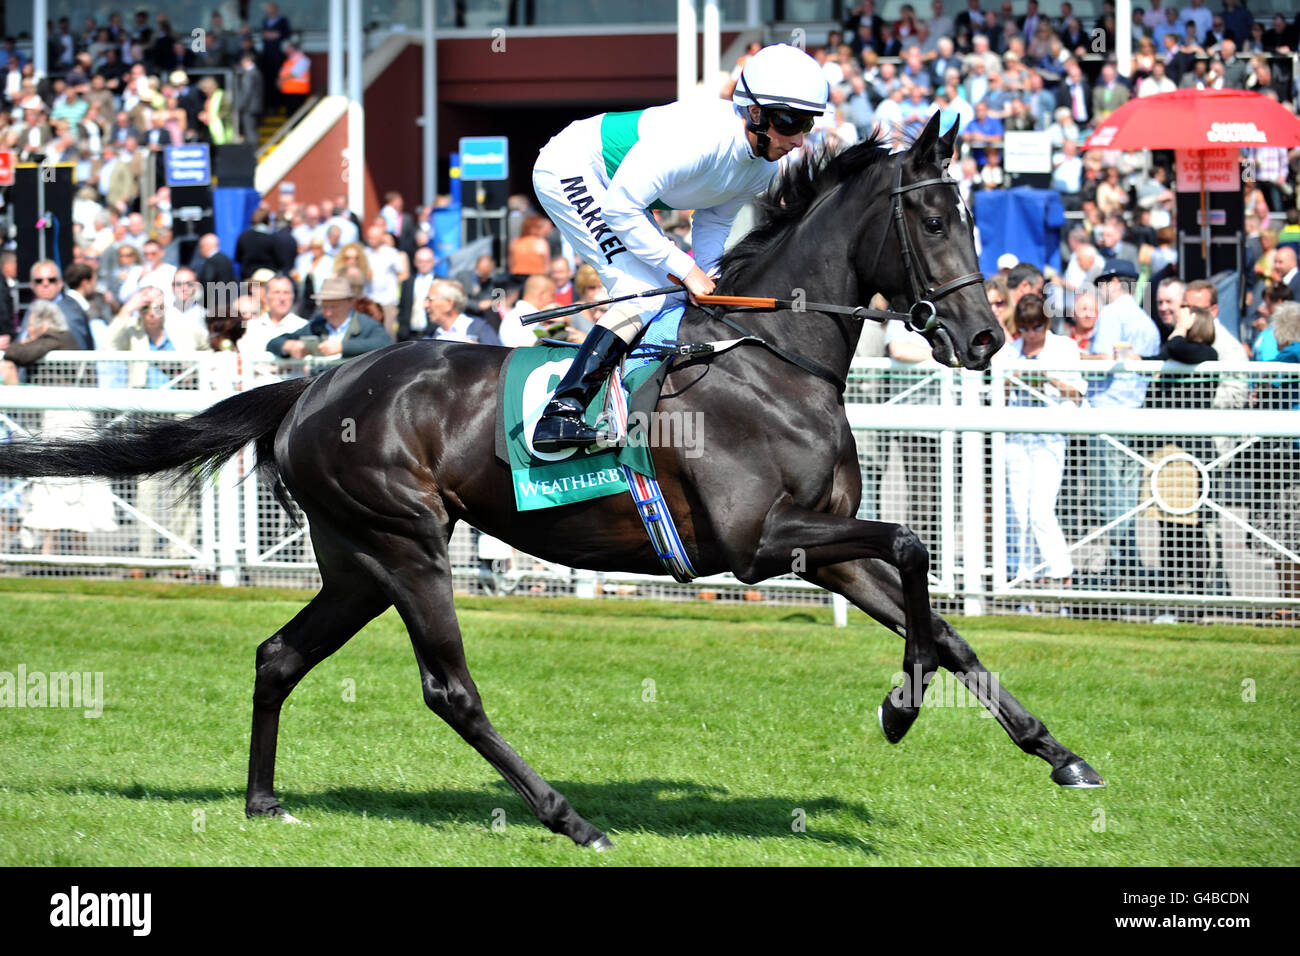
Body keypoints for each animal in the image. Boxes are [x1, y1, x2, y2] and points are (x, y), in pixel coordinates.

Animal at [0, 115, 1102, 848]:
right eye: (933, 217)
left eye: (976, 215)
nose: (985, 338)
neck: (769, 361)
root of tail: (317, 382)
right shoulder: (761, 543)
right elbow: (915, 550)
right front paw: (899, 711)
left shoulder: (822, 548)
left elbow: (942, 624)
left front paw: (1059, 754)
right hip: (405, 542)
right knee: (449, 688)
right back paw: (568, 816)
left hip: (357, 559)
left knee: (278, 654)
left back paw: (264, 799)